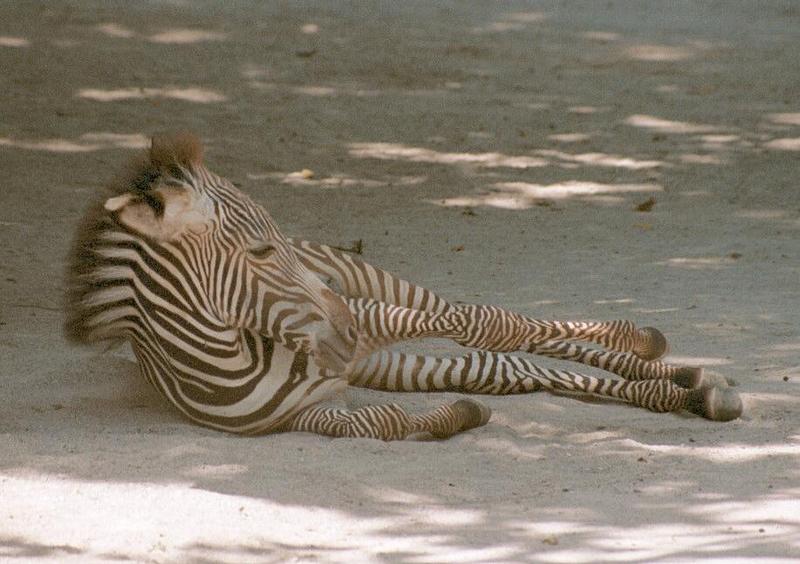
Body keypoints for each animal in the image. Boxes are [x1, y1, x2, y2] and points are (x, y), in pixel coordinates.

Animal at [64, 135, 744, 440]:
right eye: (258, 251)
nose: (341, 331)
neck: (240, 356)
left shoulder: (365, 316)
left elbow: (486, 322)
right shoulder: (314, 414)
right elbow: (383, 421)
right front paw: (457, 417)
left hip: (374, 292)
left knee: (506, 329)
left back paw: (654, 353)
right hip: (385, 362)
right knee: (514, 368)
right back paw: (682, 386)